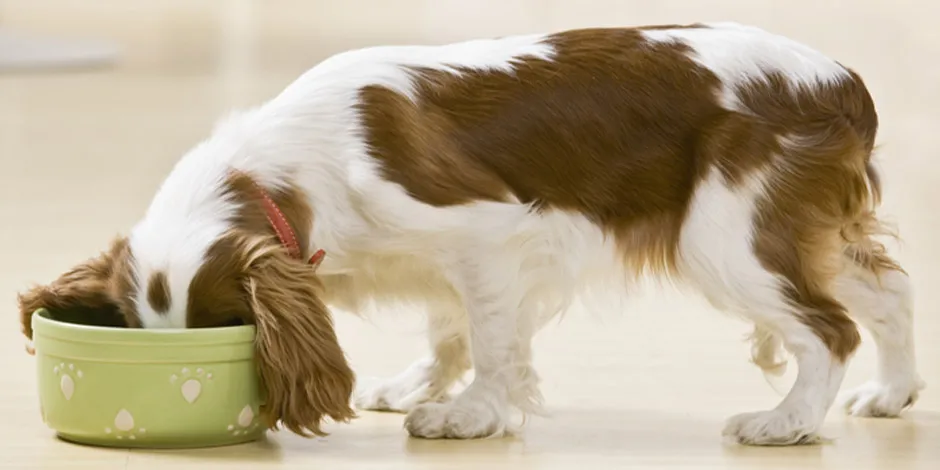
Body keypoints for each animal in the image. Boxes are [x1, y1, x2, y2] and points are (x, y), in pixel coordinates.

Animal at [16, 22, 924, 446]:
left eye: (228, 328)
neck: (288, 171)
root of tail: (842, 82)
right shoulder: (442, 262)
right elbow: (448, 327)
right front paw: (424, 383)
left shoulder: (486, 236)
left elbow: (490, 339)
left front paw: (470, 414)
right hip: (798, 228)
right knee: (888, 291)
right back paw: (893, 393)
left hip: (726, 237)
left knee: (827, 329)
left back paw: (787, 423)